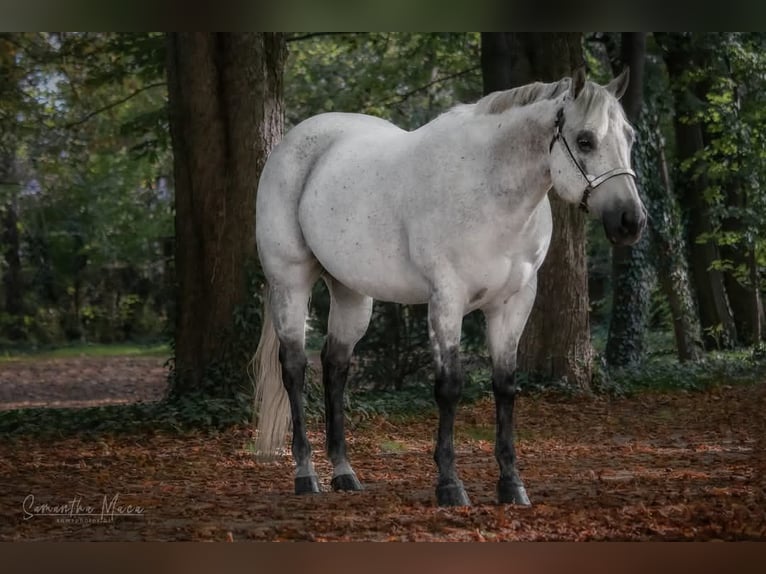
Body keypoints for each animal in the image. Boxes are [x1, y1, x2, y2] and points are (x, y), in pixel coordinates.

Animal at [252, 68, 646, 507]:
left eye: (629, 137)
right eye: (585, 140)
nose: (631, 221)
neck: (489, 187)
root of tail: (293, 142)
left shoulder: (513, 304)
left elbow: (505, 387)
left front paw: (512, 485)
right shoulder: (447, 300)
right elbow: (449, 387)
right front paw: (450, 485)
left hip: (352, 293)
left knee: (335, 367)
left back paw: (344, 472)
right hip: (290, 282)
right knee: (295, 368)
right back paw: (306, 474)